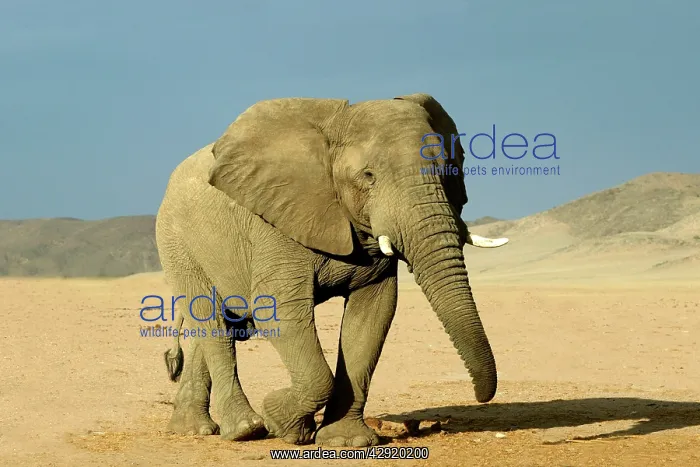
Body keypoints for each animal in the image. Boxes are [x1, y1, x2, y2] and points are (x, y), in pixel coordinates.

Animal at [155, 93, 509, 447]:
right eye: (368, 176)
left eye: (449, 171)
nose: (482, 396)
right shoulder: (275, 223)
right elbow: (275, 310)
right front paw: (280, 421)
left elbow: (372, 316)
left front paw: (345, 442)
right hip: (177, 242)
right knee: (211, 321)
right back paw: (245, 429)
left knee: (217, 326)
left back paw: (194, 428)